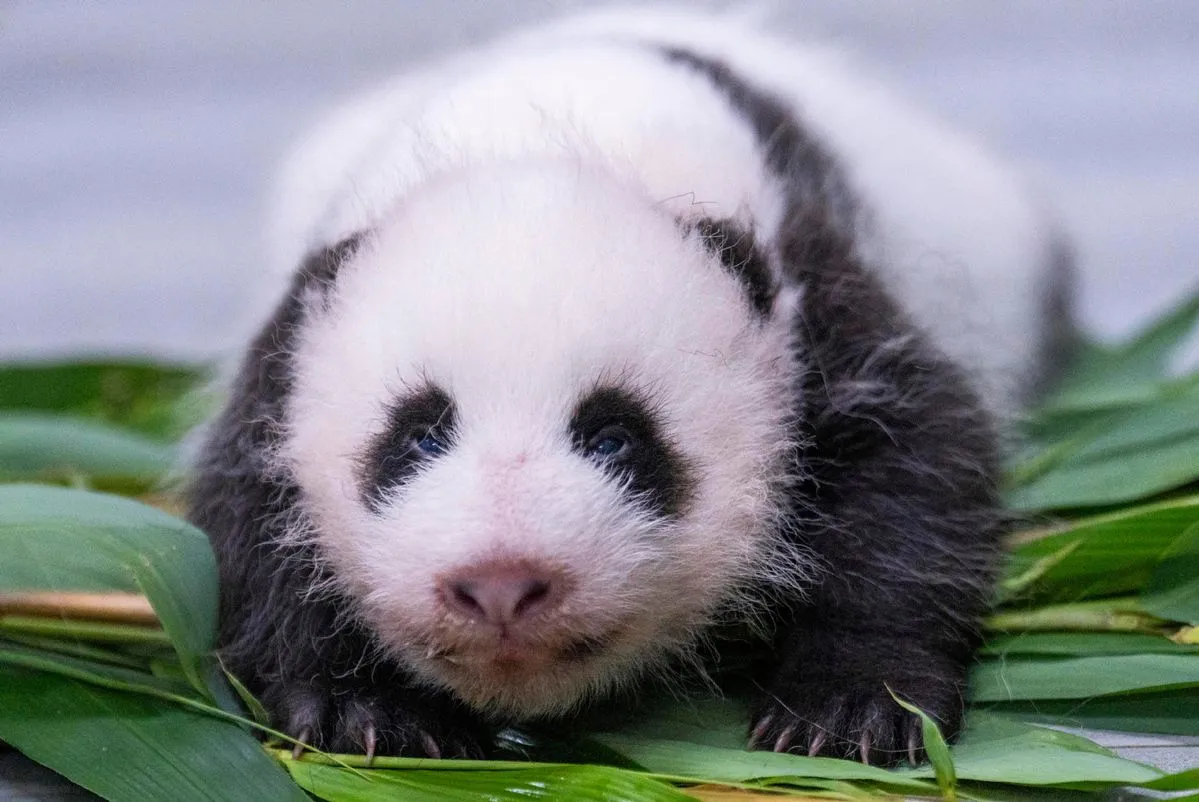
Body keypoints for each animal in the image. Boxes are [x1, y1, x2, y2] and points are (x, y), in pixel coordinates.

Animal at [187, 7, 1072, 766]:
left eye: (614, 435)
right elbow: (249, 516)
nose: (501, 585)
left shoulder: (812, 299)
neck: (548, 134)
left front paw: (852, 708)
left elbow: (909, 468)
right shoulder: (290, 342)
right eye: (420, 436)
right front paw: (362, 710)